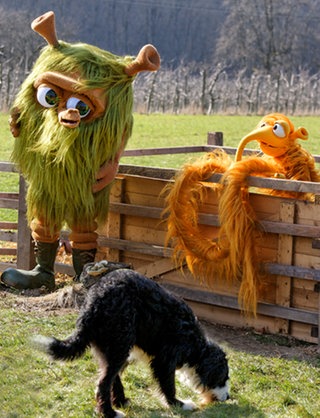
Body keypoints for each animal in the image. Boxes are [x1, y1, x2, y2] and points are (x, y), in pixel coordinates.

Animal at [34, 262, 230, 416]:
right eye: (223, 377)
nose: (228, 397)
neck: (196, 345)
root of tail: (93, 303)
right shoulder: (164, 361)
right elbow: (168, 385)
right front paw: (179, 404)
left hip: (113, 347)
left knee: (109, 378)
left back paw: (120, 402)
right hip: (119, 345)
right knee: (103, 383)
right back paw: (110, 412)